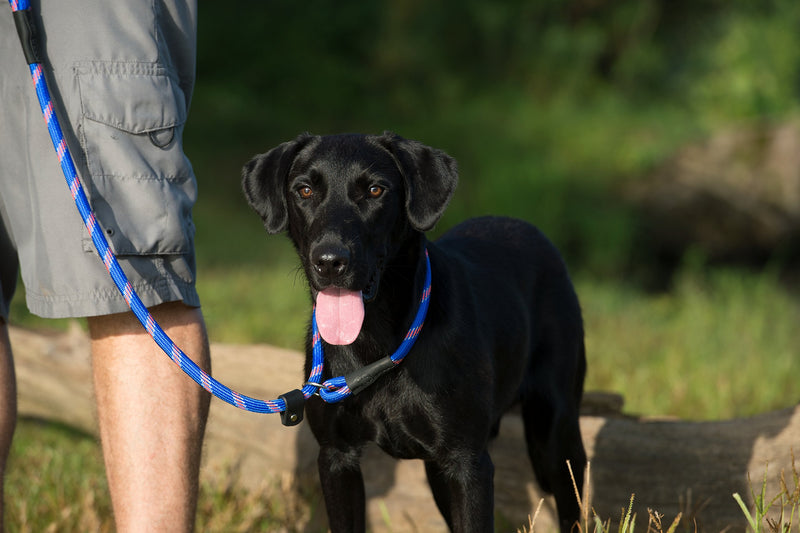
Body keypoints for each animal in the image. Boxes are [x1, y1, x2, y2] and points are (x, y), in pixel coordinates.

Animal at [241, 132, 584, 532]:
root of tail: (532, 230)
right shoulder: (337, 457)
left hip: (555, 434)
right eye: (305, 190)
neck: (375, 343)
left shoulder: (467, 463)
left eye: (375, 190)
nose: (329, 262)